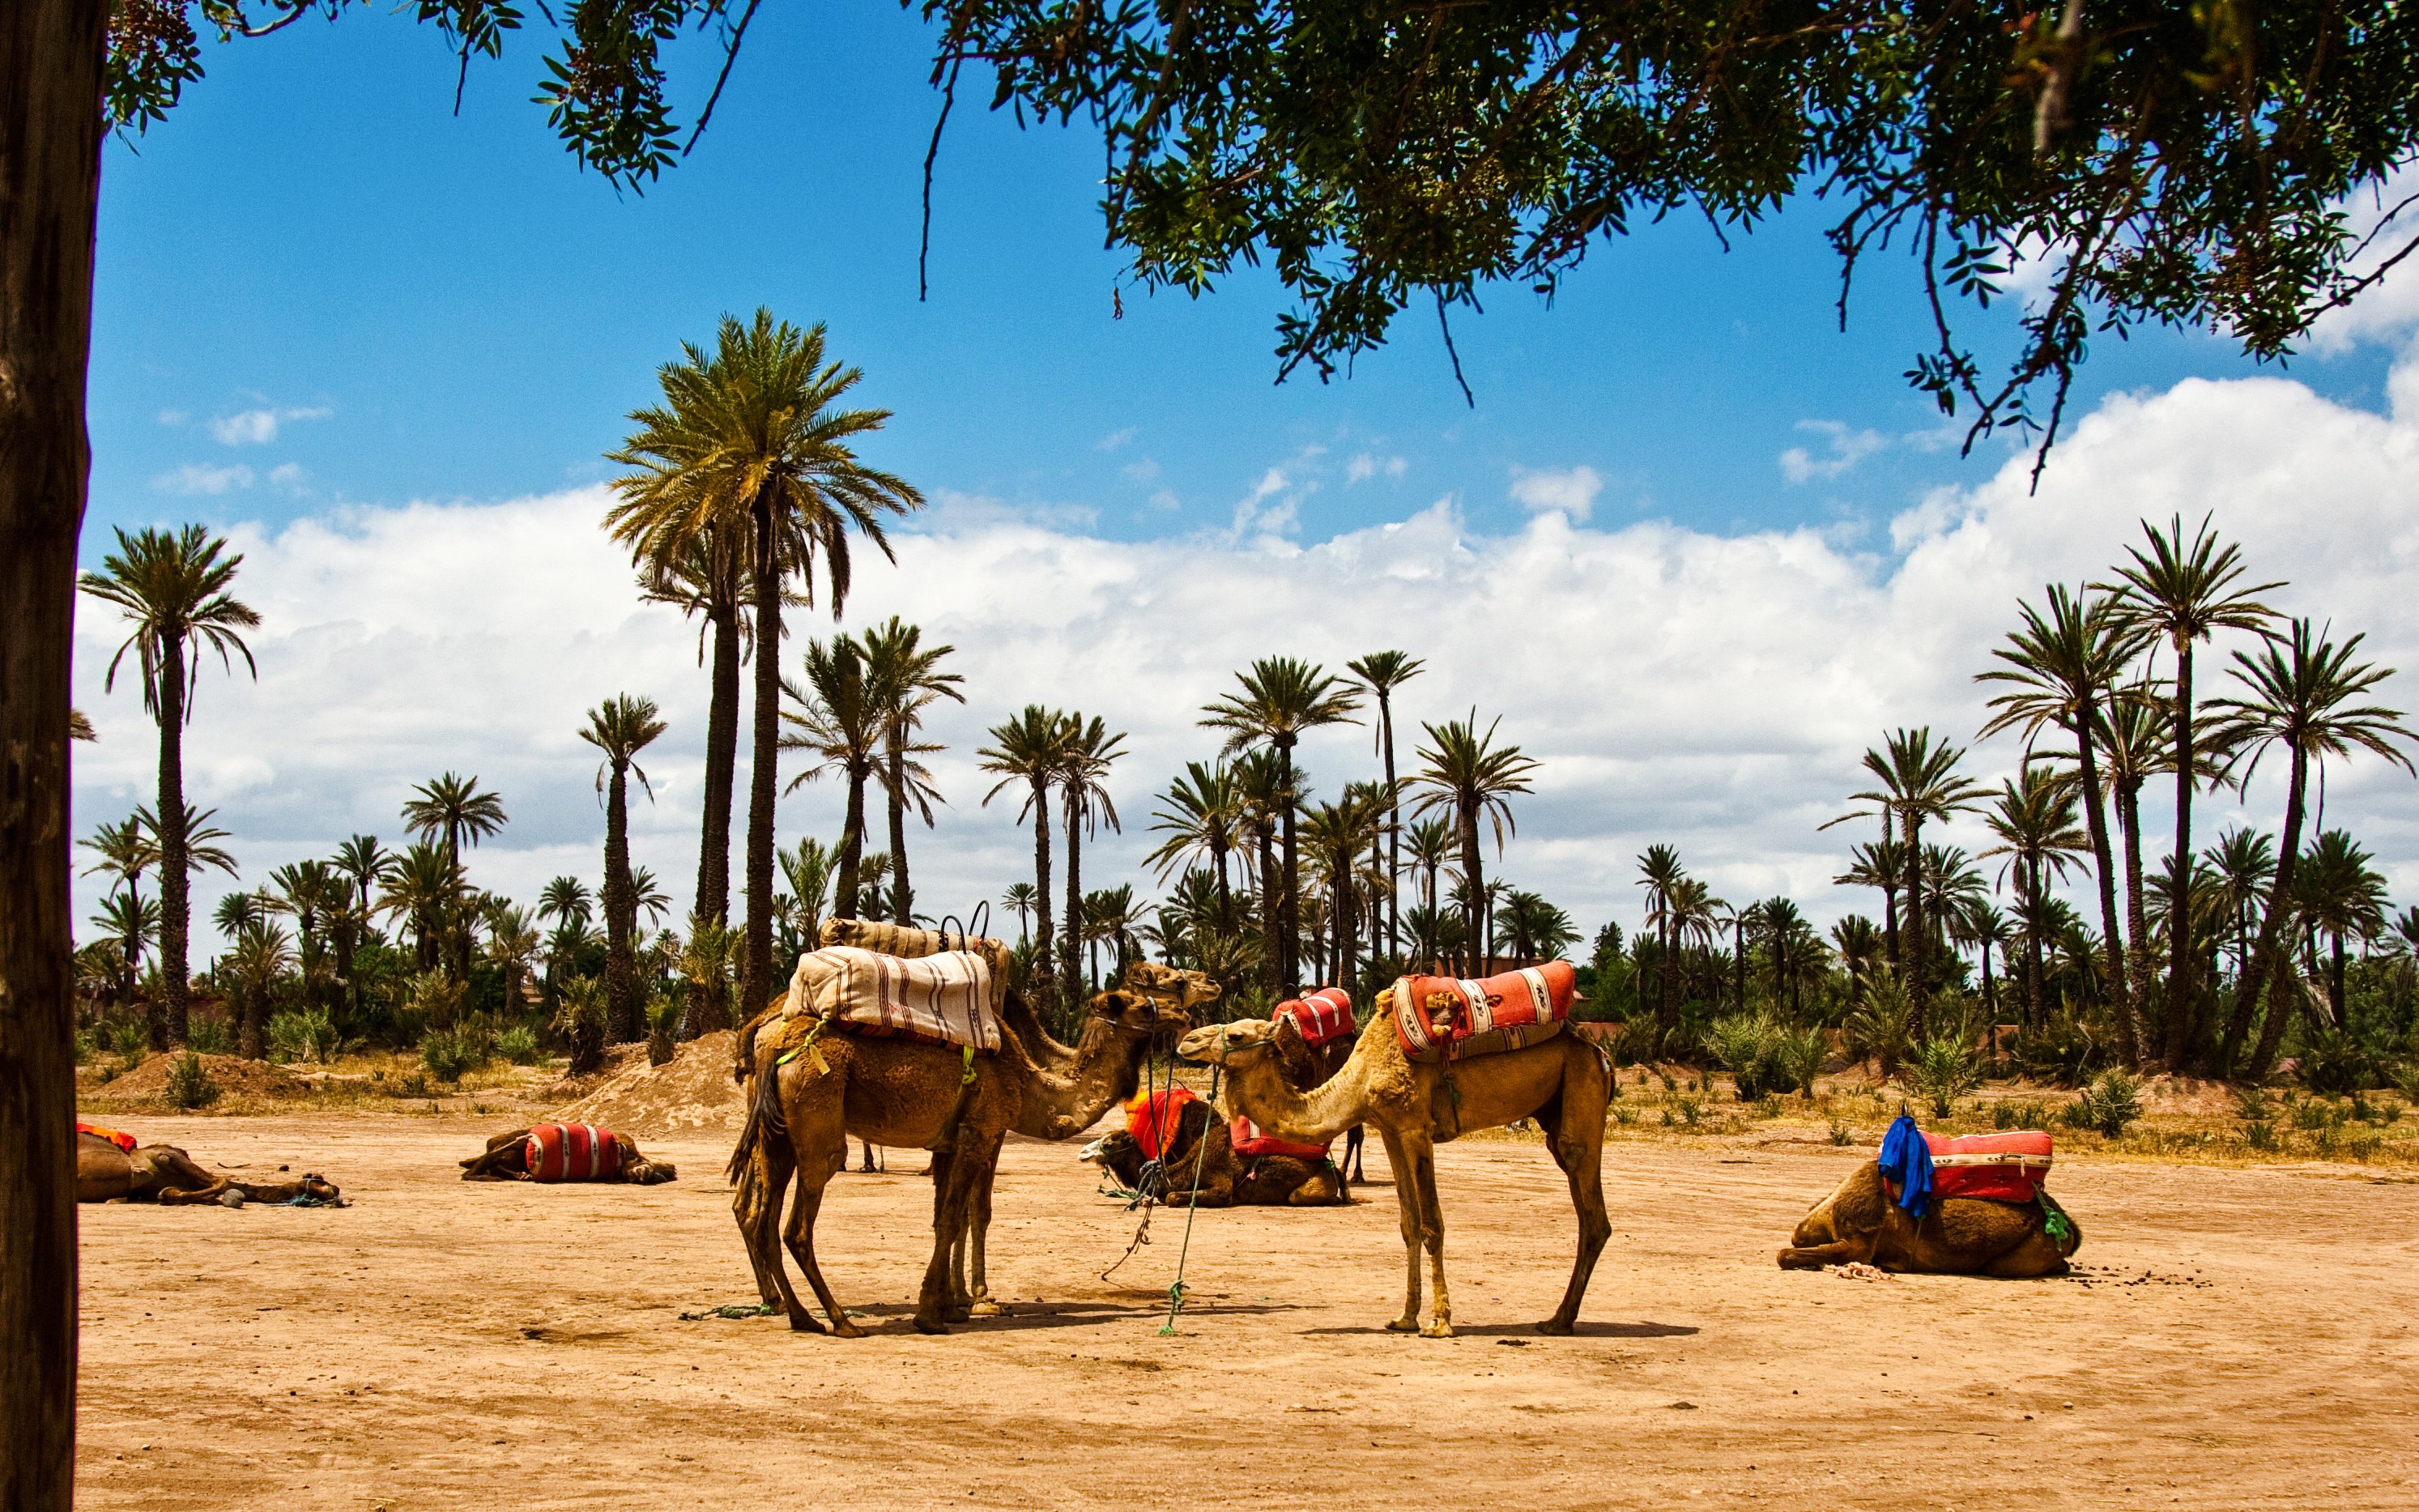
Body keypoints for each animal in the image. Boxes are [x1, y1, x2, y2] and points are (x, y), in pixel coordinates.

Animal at [728, 985, 1189, 1335]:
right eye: (1135, 1001)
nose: (1182, 1012)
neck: (1028, 1083)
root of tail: (774, 1049)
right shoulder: (978, 1133)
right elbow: (957, 1217)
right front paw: (933, 1314)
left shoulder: (949, 1143)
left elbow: (944, 1219)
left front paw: (950, 1304)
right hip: (818, 1119)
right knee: (796, 1227)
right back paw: (841, 1321)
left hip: (777, 1138)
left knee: (763, 1220)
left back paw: (802, 1317)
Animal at [1177, 990, 1613, 1338]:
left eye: (1237, 1035)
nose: (1186, 1041)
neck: (1358, 1080)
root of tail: (1597, 1049)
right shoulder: (1389, 1130)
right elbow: (1408, 1224)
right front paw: (1405, 1318)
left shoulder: (1416, 1128)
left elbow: (1432, 1224)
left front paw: (1439, 1322)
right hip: (1555, 1110)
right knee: (1588, 1213)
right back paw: (1559, 1319)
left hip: (1581, 1087)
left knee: (1592, 1211)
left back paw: (1559, 1320)